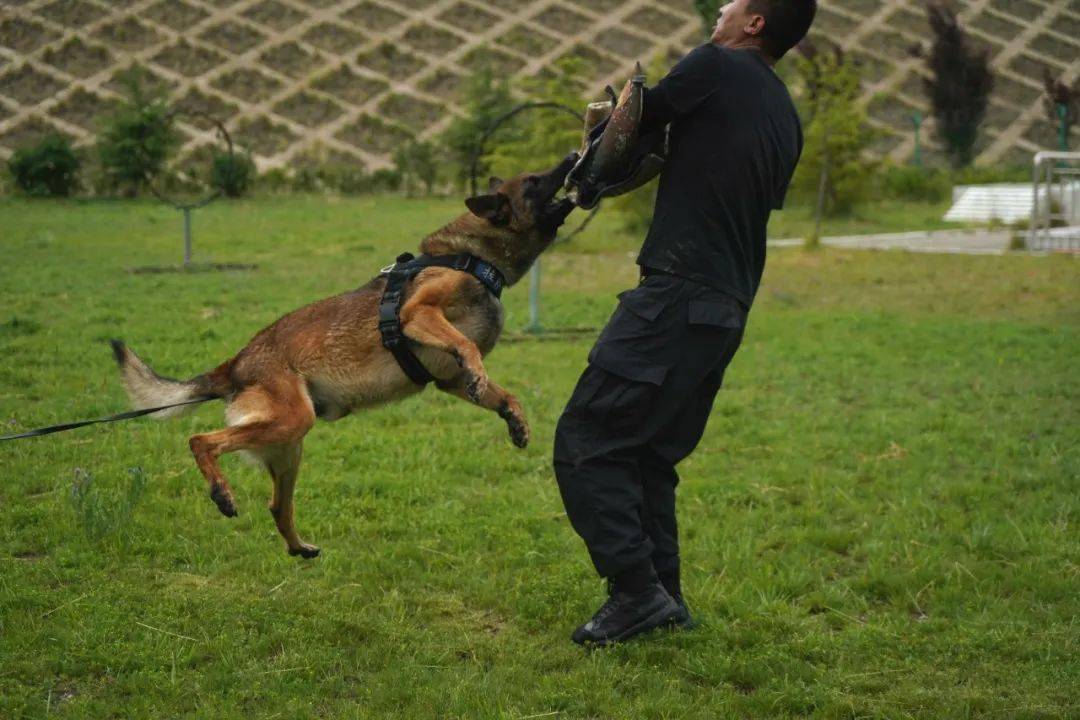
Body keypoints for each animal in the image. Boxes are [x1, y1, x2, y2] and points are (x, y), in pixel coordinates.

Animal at [110, 153, 578, 557]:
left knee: (277, 506)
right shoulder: (416, 313)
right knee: (201, 441)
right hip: (290, 421)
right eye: (534, 181)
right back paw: (221, 493)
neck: (473, 257)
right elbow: (465, 348)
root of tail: (238, 362)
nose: (574, 155)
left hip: (287, 442)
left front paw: (515, 422)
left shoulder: (448, 378)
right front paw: (484, 378)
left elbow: (504, 394)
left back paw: (299, 547)